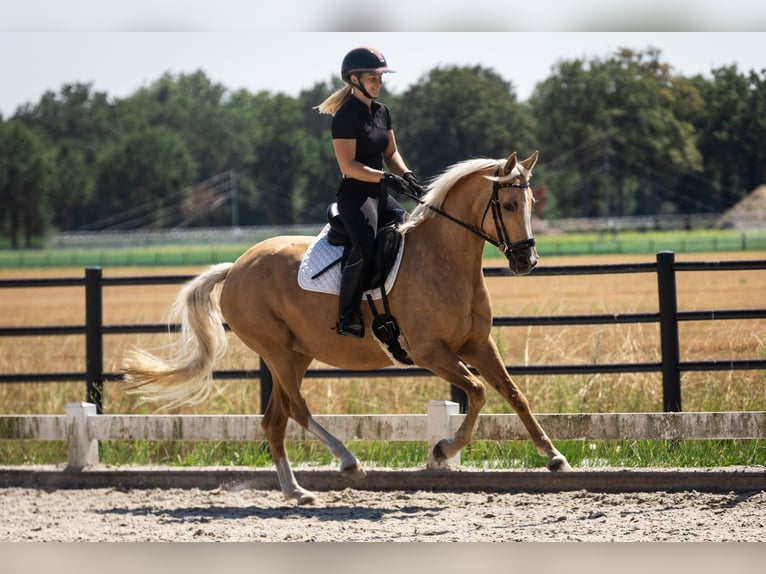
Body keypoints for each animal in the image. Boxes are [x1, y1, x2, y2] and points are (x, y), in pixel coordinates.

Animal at [123, 150, 572, 505]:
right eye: (509, 204)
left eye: (532, 201)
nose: (526, 261)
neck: (444, 259)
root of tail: (236, 267)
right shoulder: (431, 352)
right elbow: (478, 391)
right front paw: (443, 449)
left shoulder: (478, 345)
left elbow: (514, 393)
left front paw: (554, 457)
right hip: (277, 351)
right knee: (297, 409)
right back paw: (348, 462)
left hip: (296, 353)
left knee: (275, 420)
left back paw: (297, 492)